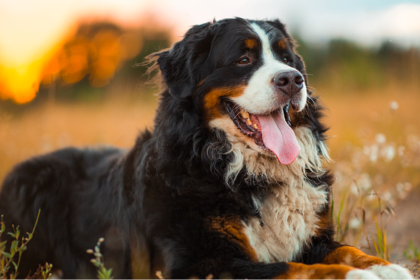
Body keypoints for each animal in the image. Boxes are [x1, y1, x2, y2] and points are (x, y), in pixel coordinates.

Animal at [0, 18, 414, 280]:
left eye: (286, 58)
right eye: (244, 59)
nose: (293, 79)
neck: (241, 169)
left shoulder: (313, 237)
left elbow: (346, 250)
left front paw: (385, 266)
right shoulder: (199, 262)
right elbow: (295, 269)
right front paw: (357, 277)